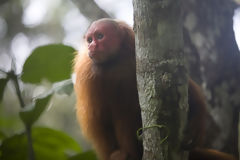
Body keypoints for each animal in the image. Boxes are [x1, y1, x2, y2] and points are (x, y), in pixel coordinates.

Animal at [73, 18, 238, 160]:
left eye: (99, 36)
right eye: (89, 40)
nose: (91, 46)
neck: (116, 62)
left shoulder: (136, 56)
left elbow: (188, 90)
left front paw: (196, 124)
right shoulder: (89, 76)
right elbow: (99, 120)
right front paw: (117, 154)